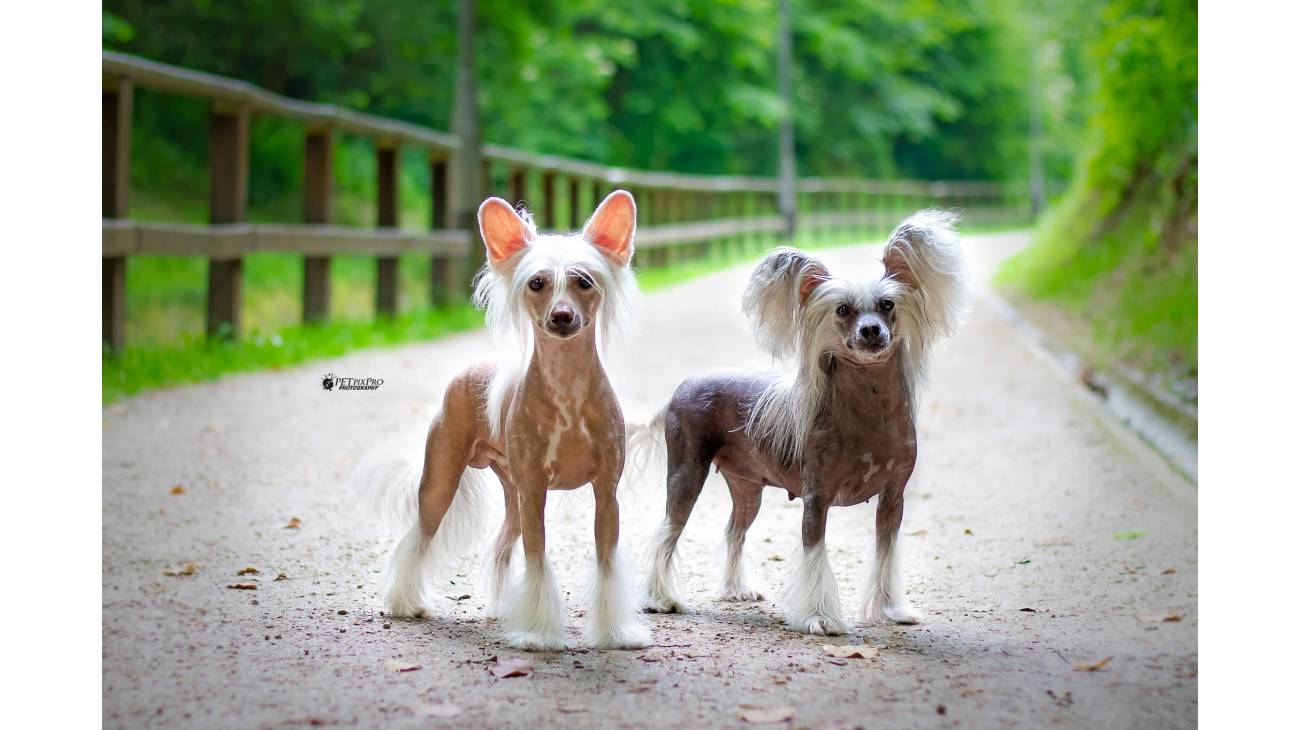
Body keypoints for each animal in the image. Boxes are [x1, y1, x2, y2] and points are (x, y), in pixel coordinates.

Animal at [356, 188, 650, 646]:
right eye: (537, 283)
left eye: (584, 281)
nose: (561, 316)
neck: (567, 391)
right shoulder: (535, 494)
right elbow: (538, 561)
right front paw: (539, 634)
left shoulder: (606, 494)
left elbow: (606, 566)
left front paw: (615, 633)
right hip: (443, 481)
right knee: (418, 537)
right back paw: (406, 603)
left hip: (512, 491)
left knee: (500, 544)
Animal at [629, 210, 967, 631]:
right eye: (842, 310)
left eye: (887, 304)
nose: (871, 330)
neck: (868, 410)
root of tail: (681, 388)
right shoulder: (816, 498)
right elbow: (815, 556)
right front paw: (821, 618)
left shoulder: (893, 499)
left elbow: (885, 555)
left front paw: (890, 610)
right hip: (687, 472)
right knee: (667, 532)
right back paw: (660, 599)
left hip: (747, 487)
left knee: (734, 530)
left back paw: (735, 589)